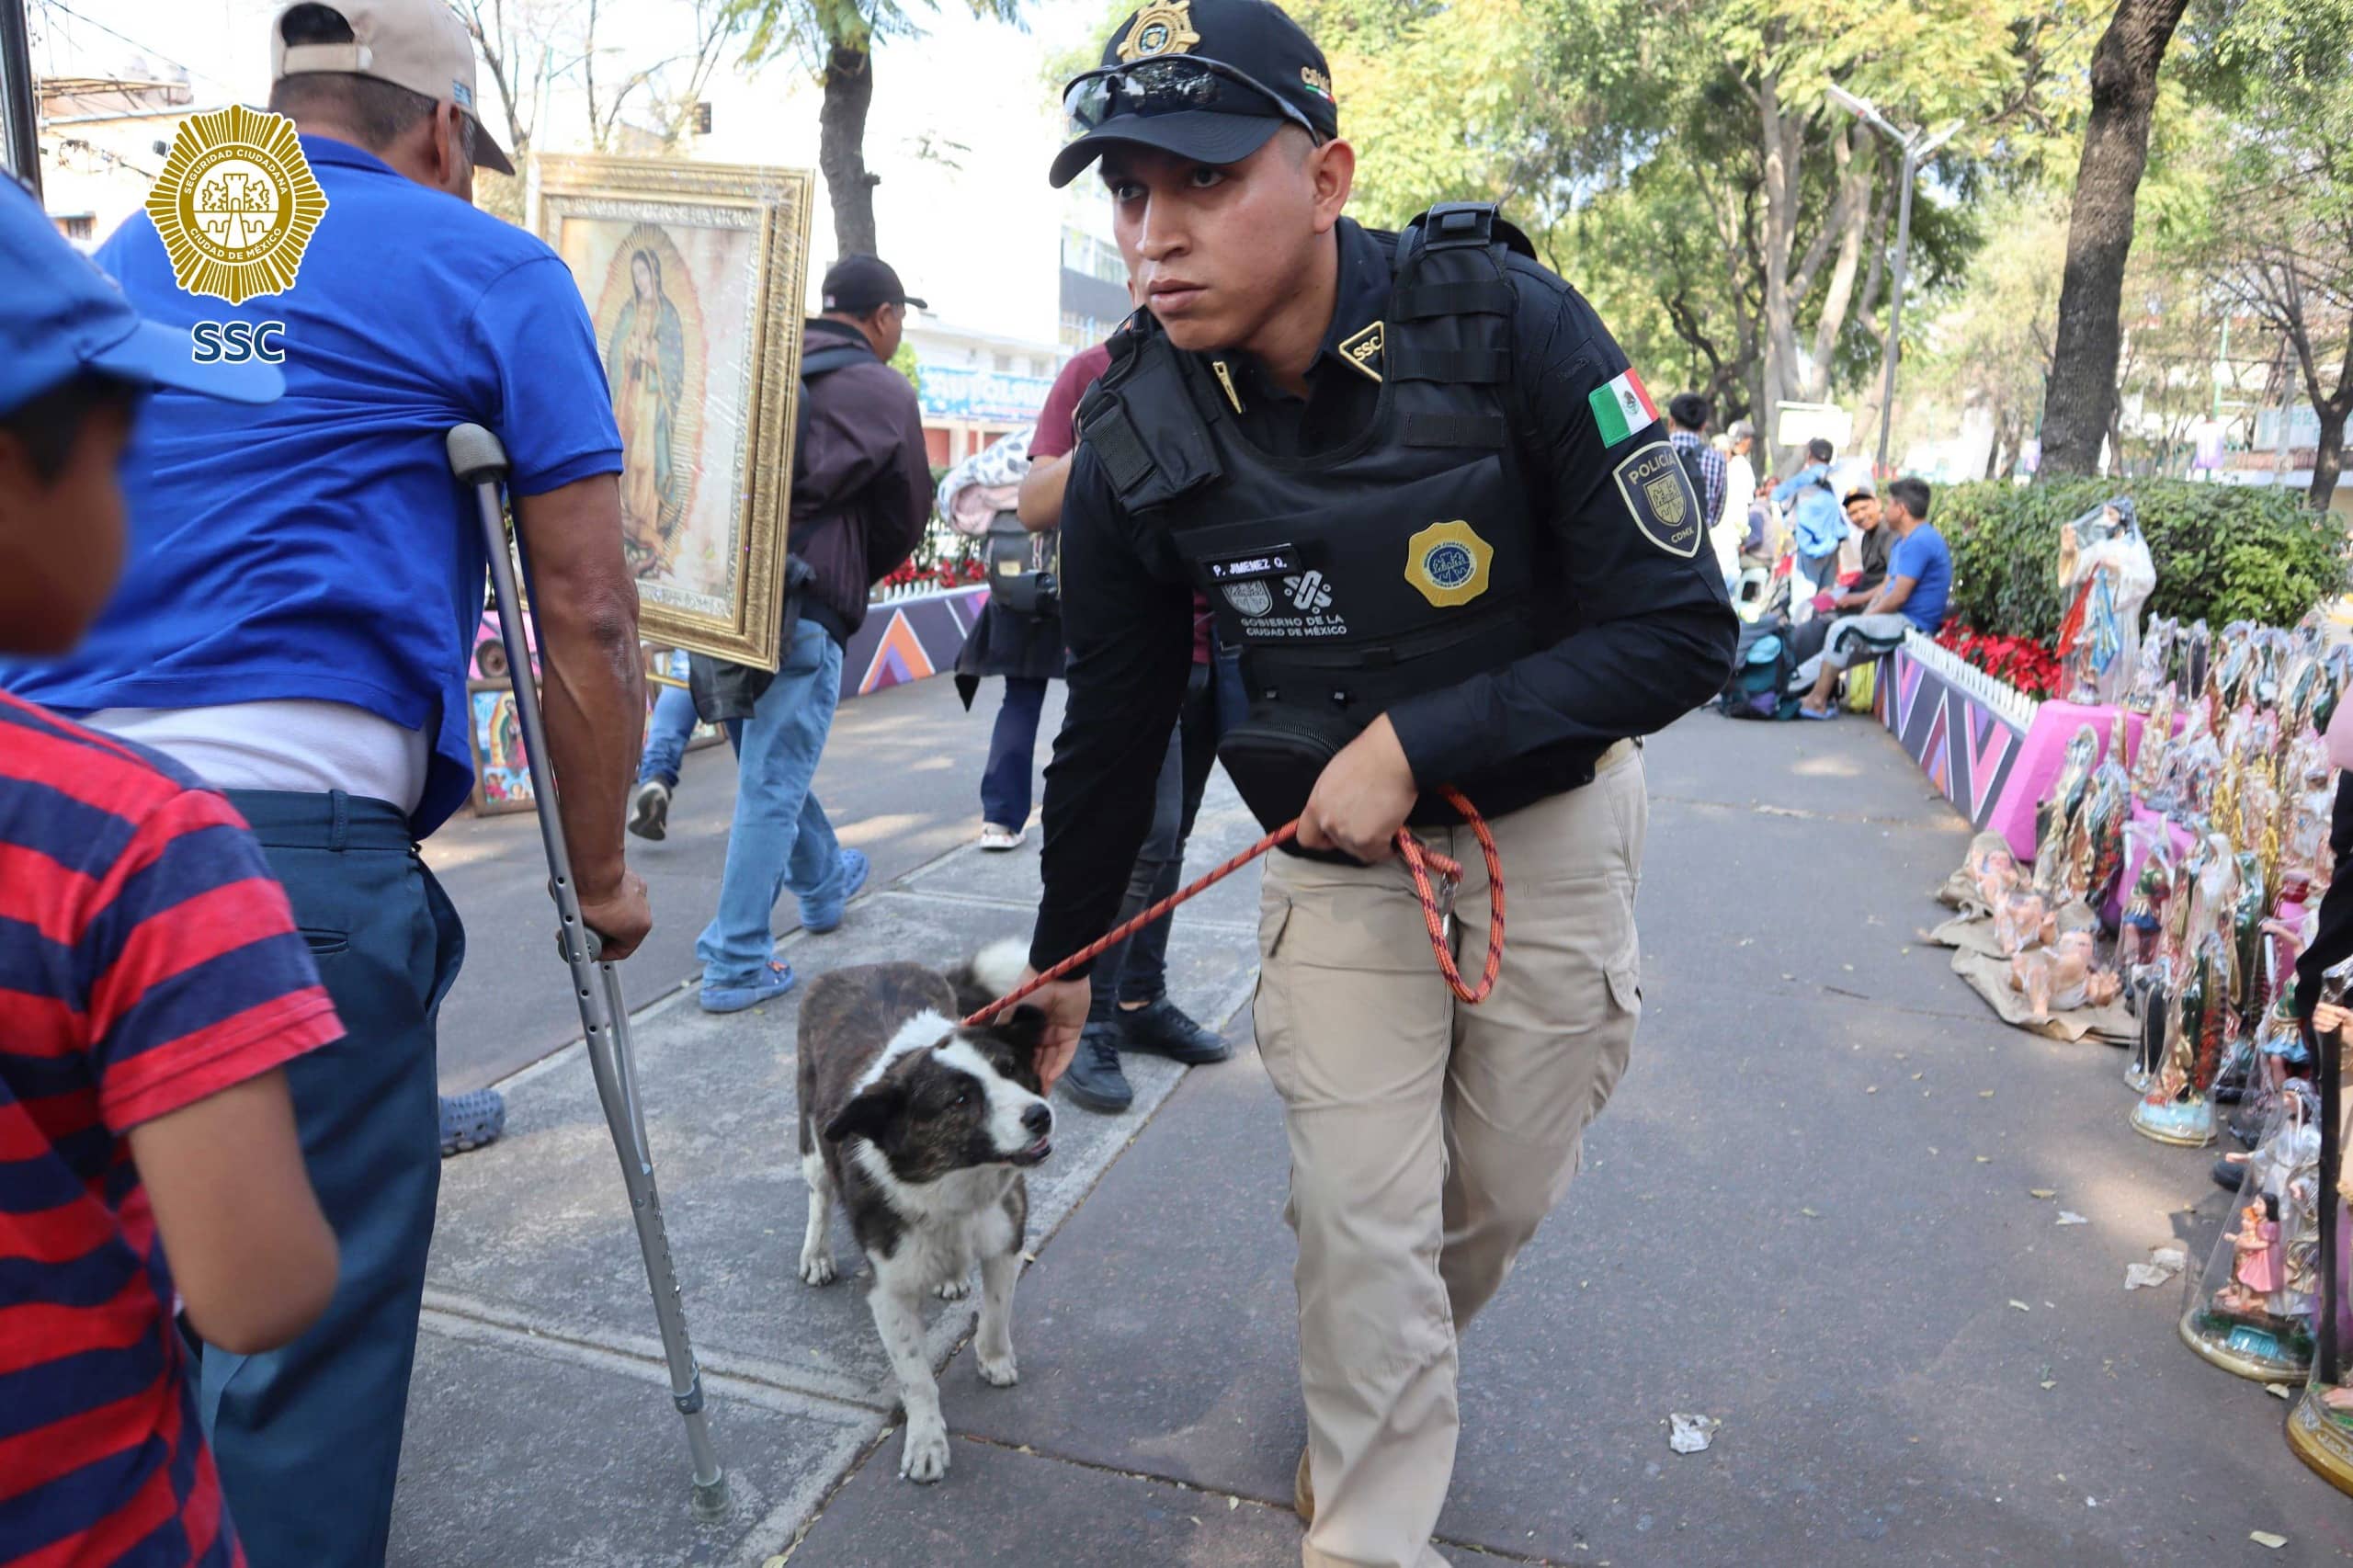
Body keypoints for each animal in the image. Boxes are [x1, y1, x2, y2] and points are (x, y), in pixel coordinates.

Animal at [790, 932, 1049, 1487]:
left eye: (1011, 1070)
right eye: (959, 1101)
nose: (1041, 1116)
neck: (952, 1182)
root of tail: (866, 965)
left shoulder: (1005, 1239)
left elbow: (997, 1312)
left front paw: (994, 1359)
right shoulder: (887, 1291)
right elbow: (916, 1378)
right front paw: (927, 1441)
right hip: (812, 1138)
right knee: (819, 1194)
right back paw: (816, 1253)